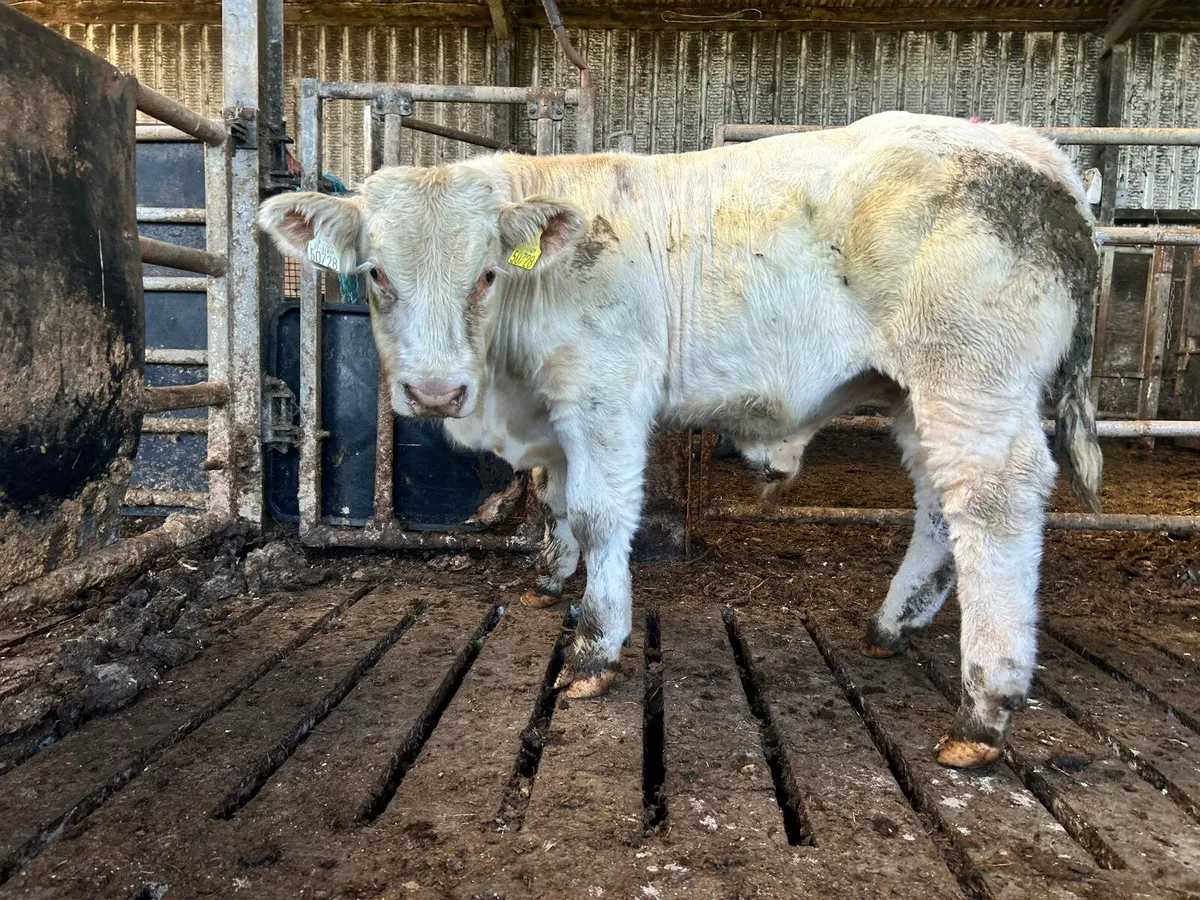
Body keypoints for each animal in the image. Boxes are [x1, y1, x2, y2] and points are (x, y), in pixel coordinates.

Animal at [258, 111, 1103, 769]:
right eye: (376, 274)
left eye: (487, 275)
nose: (435, 392)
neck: (508, 387)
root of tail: (1029, 148)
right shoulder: (554, 414)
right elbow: (555, 499)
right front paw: (551, 579)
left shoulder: (605, 392)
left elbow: (599, 514)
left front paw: (595, 644)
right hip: (915, 395)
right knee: (937, 505)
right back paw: (893, 626)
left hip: (973, 379)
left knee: (994, 506)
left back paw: (984, 708)